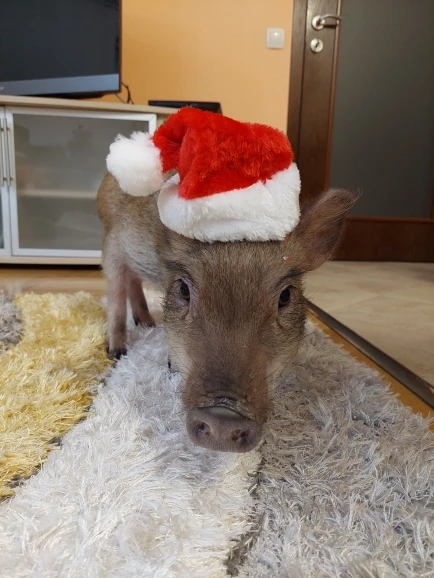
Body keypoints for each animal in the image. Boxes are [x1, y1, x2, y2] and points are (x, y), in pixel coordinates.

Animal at [97, 173, 356, 453]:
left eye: (285, 296)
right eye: (184, 290)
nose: (223, 416)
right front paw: (168, 366)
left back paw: (147, 324)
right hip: (111, 243)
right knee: (117, 290)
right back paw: (118, 351)